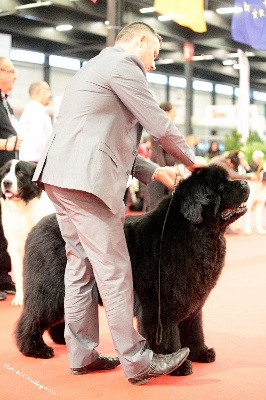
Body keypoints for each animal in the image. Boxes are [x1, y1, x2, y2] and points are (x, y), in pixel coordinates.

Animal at [0, 158, 55, 304]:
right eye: (5, 173)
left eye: (20, 173)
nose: (6, 182)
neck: (22, 209)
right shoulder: (15, 248)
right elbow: (20, 275)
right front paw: (20, 298)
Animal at [15, 164, 250, 376]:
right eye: (221, 186)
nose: (246, 183)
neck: (194, 232)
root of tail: (35, 229)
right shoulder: (159, 306)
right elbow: (168, 337)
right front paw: (177, 364)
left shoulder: (192, 300)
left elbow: (194, 329)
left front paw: (201, 352)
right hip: (51, 289)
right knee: (33, 316)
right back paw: (34, 348)